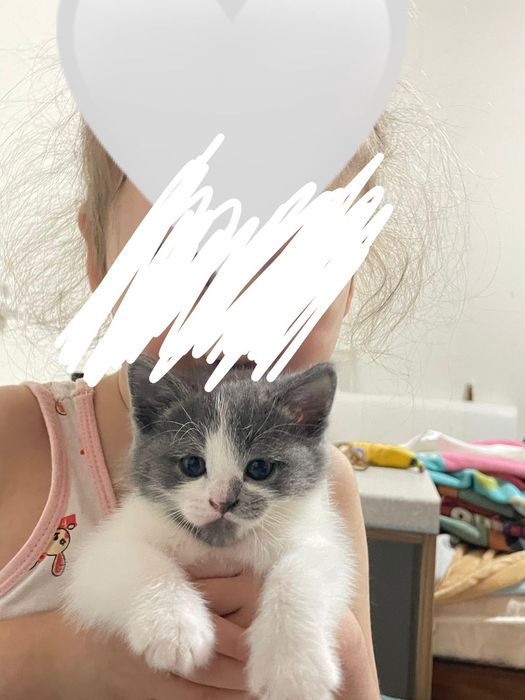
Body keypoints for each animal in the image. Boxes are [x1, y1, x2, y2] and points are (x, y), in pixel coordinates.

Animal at [63, 354, 354, 700]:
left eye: (259, 468)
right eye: (192, 465)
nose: (222, 502)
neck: (220, 547)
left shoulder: (321, 543)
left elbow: (302, 571)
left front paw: (294, 671)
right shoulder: (106, 549)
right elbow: (137, 560)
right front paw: (174, 627)